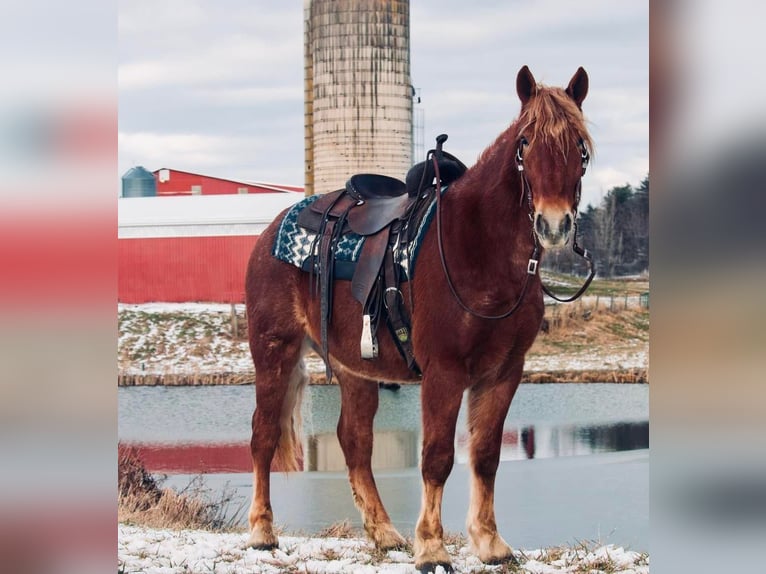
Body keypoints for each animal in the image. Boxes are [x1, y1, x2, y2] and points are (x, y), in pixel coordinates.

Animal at [246, 65, 592, 572]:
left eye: (581, 145)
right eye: (525, 143)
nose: (554, 225)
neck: (479, 249)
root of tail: (272, 229)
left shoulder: (505, 371)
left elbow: (485, 454)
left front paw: (490, 543)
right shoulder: (444, 372)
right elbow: (437, 456)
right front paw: (431, 548)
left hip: (355, 370)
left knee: (354, 441)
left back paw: (383, 532)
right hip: (274, 351)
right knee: (264, 435)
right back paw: (262, 532)